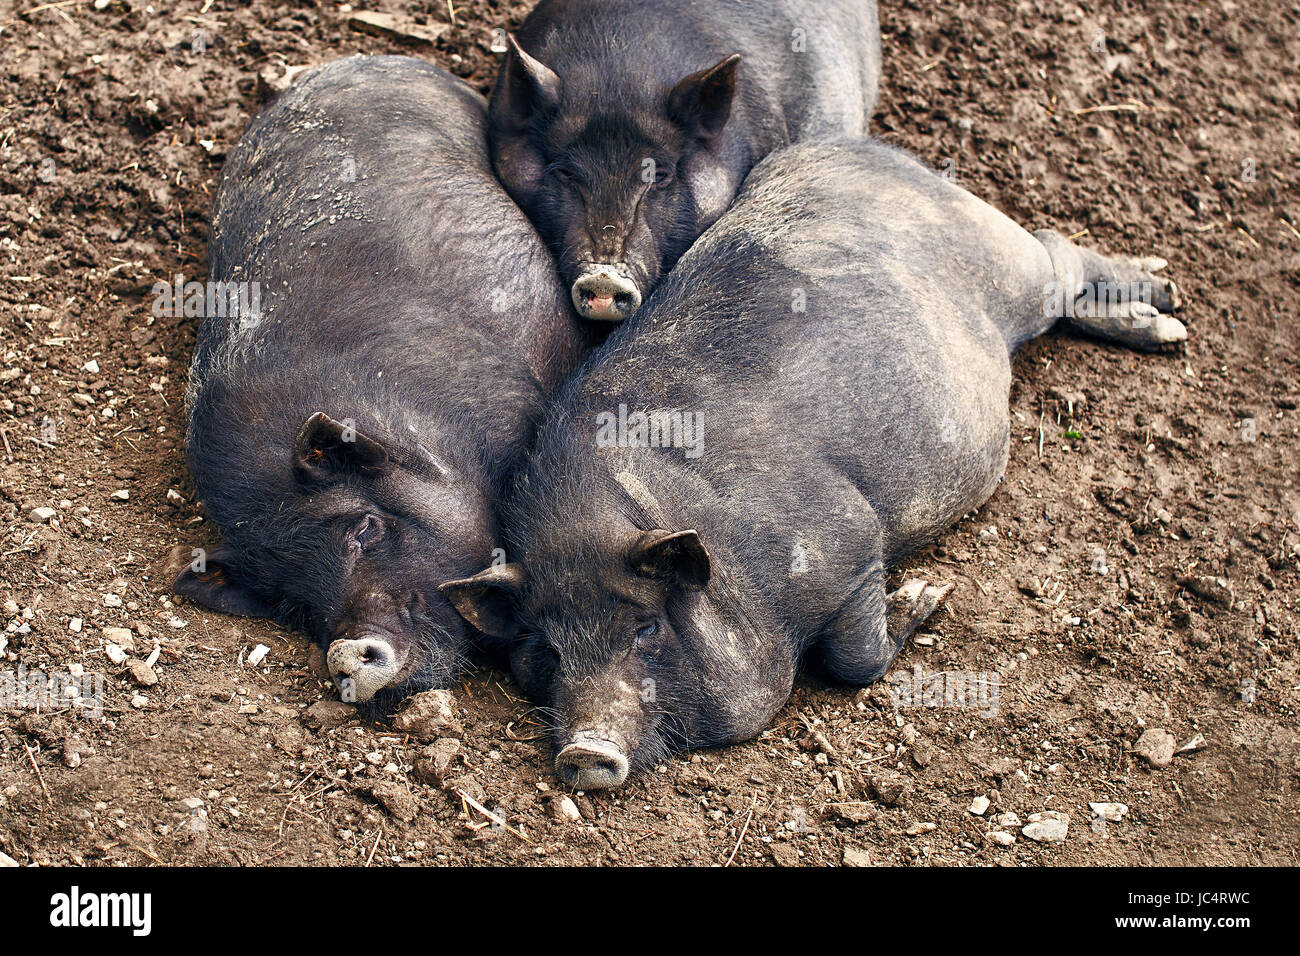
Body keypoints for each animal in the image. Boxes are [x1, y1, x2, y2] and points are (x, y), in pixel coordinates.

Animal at [444, 136, 1190, 790]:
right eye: (545, 649)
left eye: (645, 628)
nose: (583, 751)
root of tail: (863, 148)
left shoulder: (851, 542)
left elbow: (855, 658)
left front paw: (930, 595)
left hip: (1015, 264)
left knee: (1060, 253)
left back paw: (1170, 309)